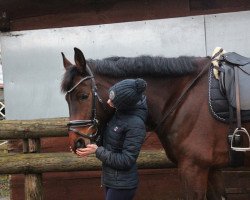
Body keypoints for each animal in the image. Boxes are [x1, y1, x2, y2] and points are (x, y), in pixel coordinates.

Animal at [60, 47, 250, 199]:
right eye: (66, 99)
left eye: (83, 96)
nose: (77, 142)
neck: (184, 96)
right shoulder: (211, 169)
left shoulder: (193, 168)